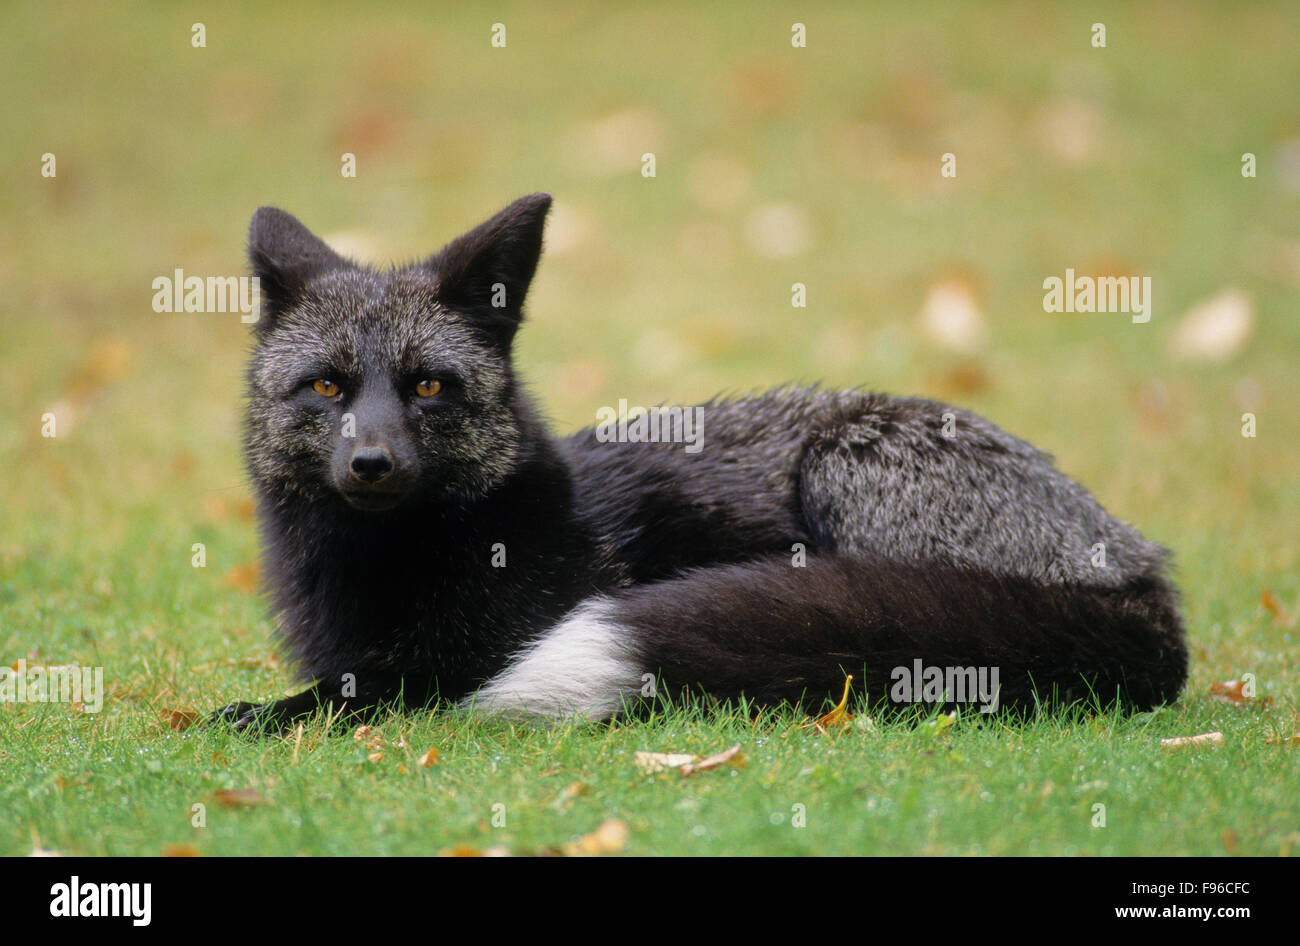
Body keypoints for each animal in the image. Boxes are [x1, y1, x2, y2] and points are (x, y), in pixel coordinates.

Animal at [211, 193, 1188, 731]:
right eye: (328, 386)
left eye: (427, 387)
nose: (372, 463)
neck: (388, 567)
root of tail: (1142, 577)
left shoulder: (473, 657)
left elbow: (353, 694)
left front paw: (257, 717)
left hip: (844, 462)